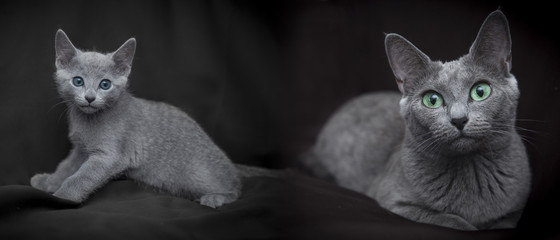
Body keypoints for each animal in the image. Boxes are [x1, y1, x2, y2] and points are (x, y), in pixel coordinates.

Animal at [31, 29, 260, 208]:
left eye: (105, 84)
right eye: (78, 81)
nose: (89, 98)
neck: (88, 121)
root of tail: (231, 164)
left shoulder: (109, 156)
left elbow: (80, 178)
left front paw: (61, 196)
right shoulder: (81, 149)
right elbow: (66, 167)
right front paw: (48, 181)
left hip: (200, 175)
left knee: (235, 186)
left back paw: (215, 198)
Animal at [304, 10, 532, 230]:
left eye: (480, 91)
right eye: (432, 100)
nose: (459, 119)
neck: (471, 170)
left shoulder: (516, 209)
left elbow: (504, 224)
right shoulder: (394, 200)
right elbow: (449, 220)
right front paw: (468, 225)